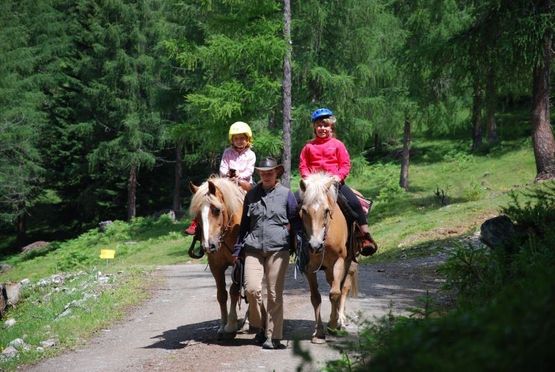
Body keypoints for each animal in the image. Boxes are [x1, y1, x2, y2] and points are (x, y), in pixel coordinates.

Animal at [189, 176, 245, 338]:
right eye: (197, 215)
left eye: (217, 210)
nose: (209, 245)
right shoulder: (216, 266)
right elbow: (221, 294)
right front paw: (222, 325)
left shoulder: (239, 263)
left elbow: (234, 291)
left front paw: (231, 325)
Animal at [300, 171, 360, 342]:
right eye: (304, 211)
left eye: (326, 211)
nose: (315, 246)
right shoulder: (309, 268)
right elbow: (316, 298)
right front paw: (319, 332)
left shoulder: (339, 261)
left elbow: (335, 293)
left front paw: (333, 324)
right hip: (328, 269)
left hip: (349, 263)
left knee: (344, 287)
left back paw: (341, 320)